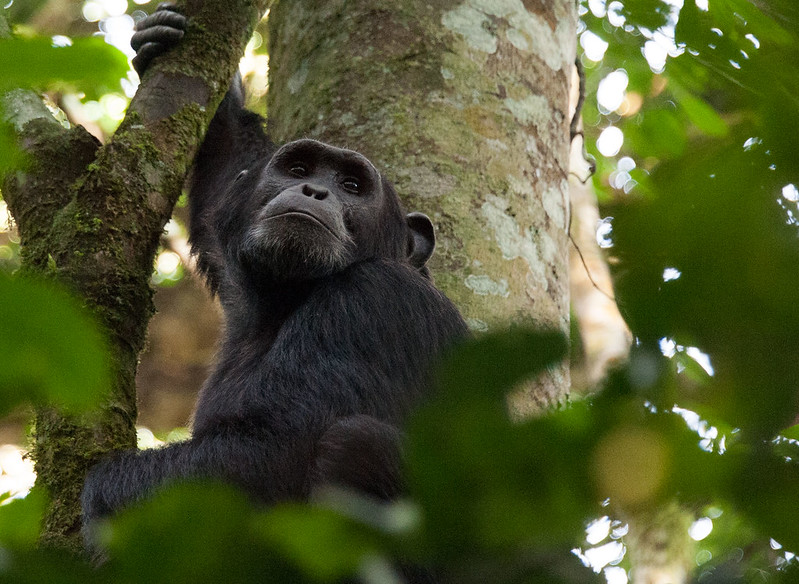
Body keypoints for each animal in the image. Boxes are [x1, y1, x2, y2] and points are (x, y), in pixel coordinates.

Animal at [80, 1, 466, 544]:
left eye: (351, 184)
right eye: (298, 169)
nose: (315, 191)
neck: (287, 298)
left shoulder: (373, 300)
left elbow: (271, 449)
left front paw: (99, 496)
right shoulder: (238, 263)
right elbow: (223, 187)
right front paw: (170, 51)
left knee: (354, 441)